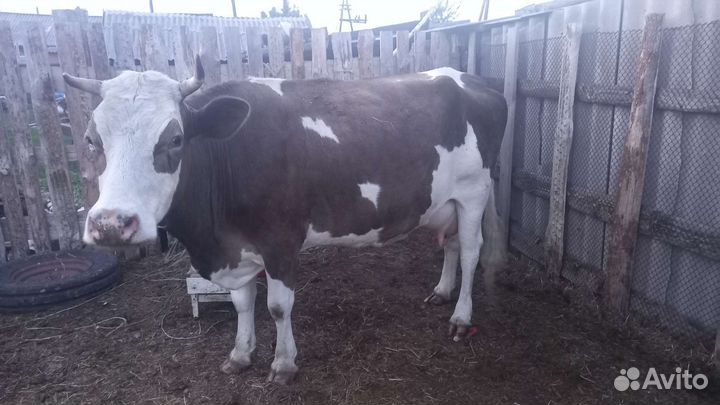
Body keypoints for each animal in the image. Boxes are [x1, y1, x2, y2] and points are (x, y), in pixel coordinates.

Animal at [63, 56, 507, 383]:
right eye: (91, 140)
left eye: (174, 139)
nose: (110, 223)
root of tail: (472, 78)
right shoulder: (237, 248)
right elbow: (242, 302)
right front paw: (240, 354)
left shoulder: (280, 240)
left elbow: (277, 306)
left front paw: (283, 364)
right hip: (446, 200)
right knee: (451, 244)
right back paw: (442, 291)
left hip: (474, 192)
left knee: (471, 252)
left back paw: (461, 316)